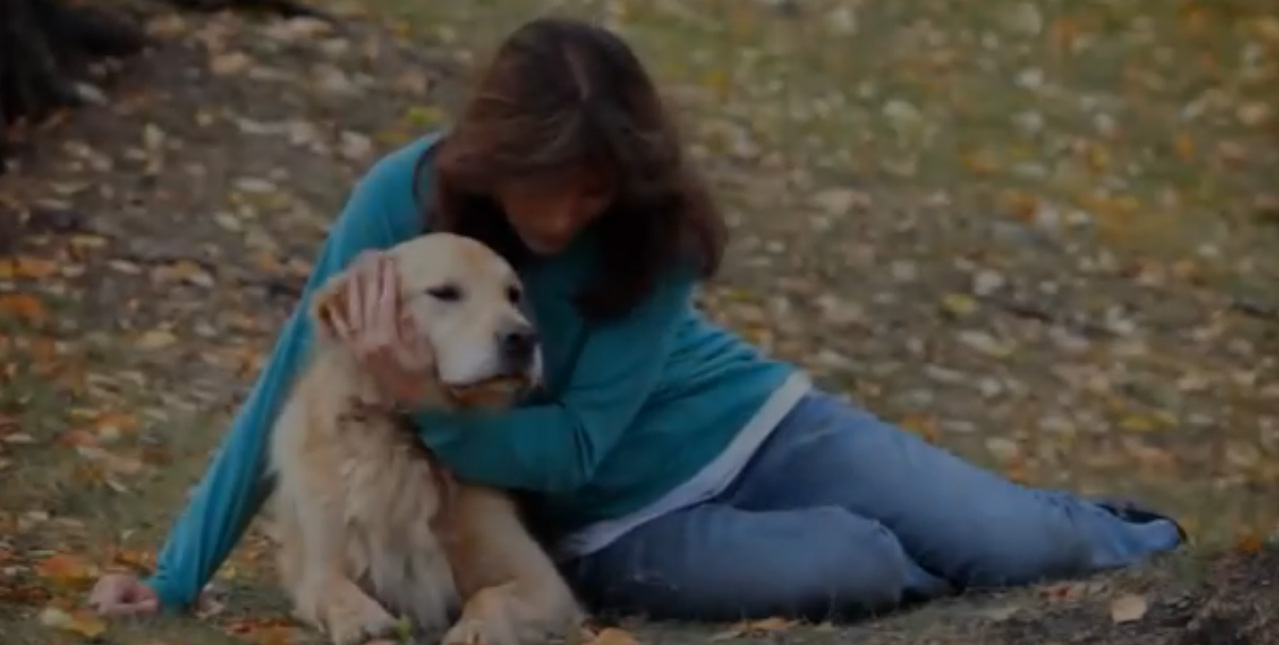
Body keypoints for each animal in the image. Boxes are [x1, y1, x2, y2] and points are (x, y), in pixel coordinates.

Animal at [272, 232, 585, 645]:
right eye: (444, 293)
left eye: (513, 295)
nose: (525, 338)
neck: (404, 440)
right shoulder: (319, 566)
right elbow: (332, 589)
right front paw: (365, 622)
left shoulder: (543, 581)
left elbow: (490, 599)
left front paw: (474, 631)